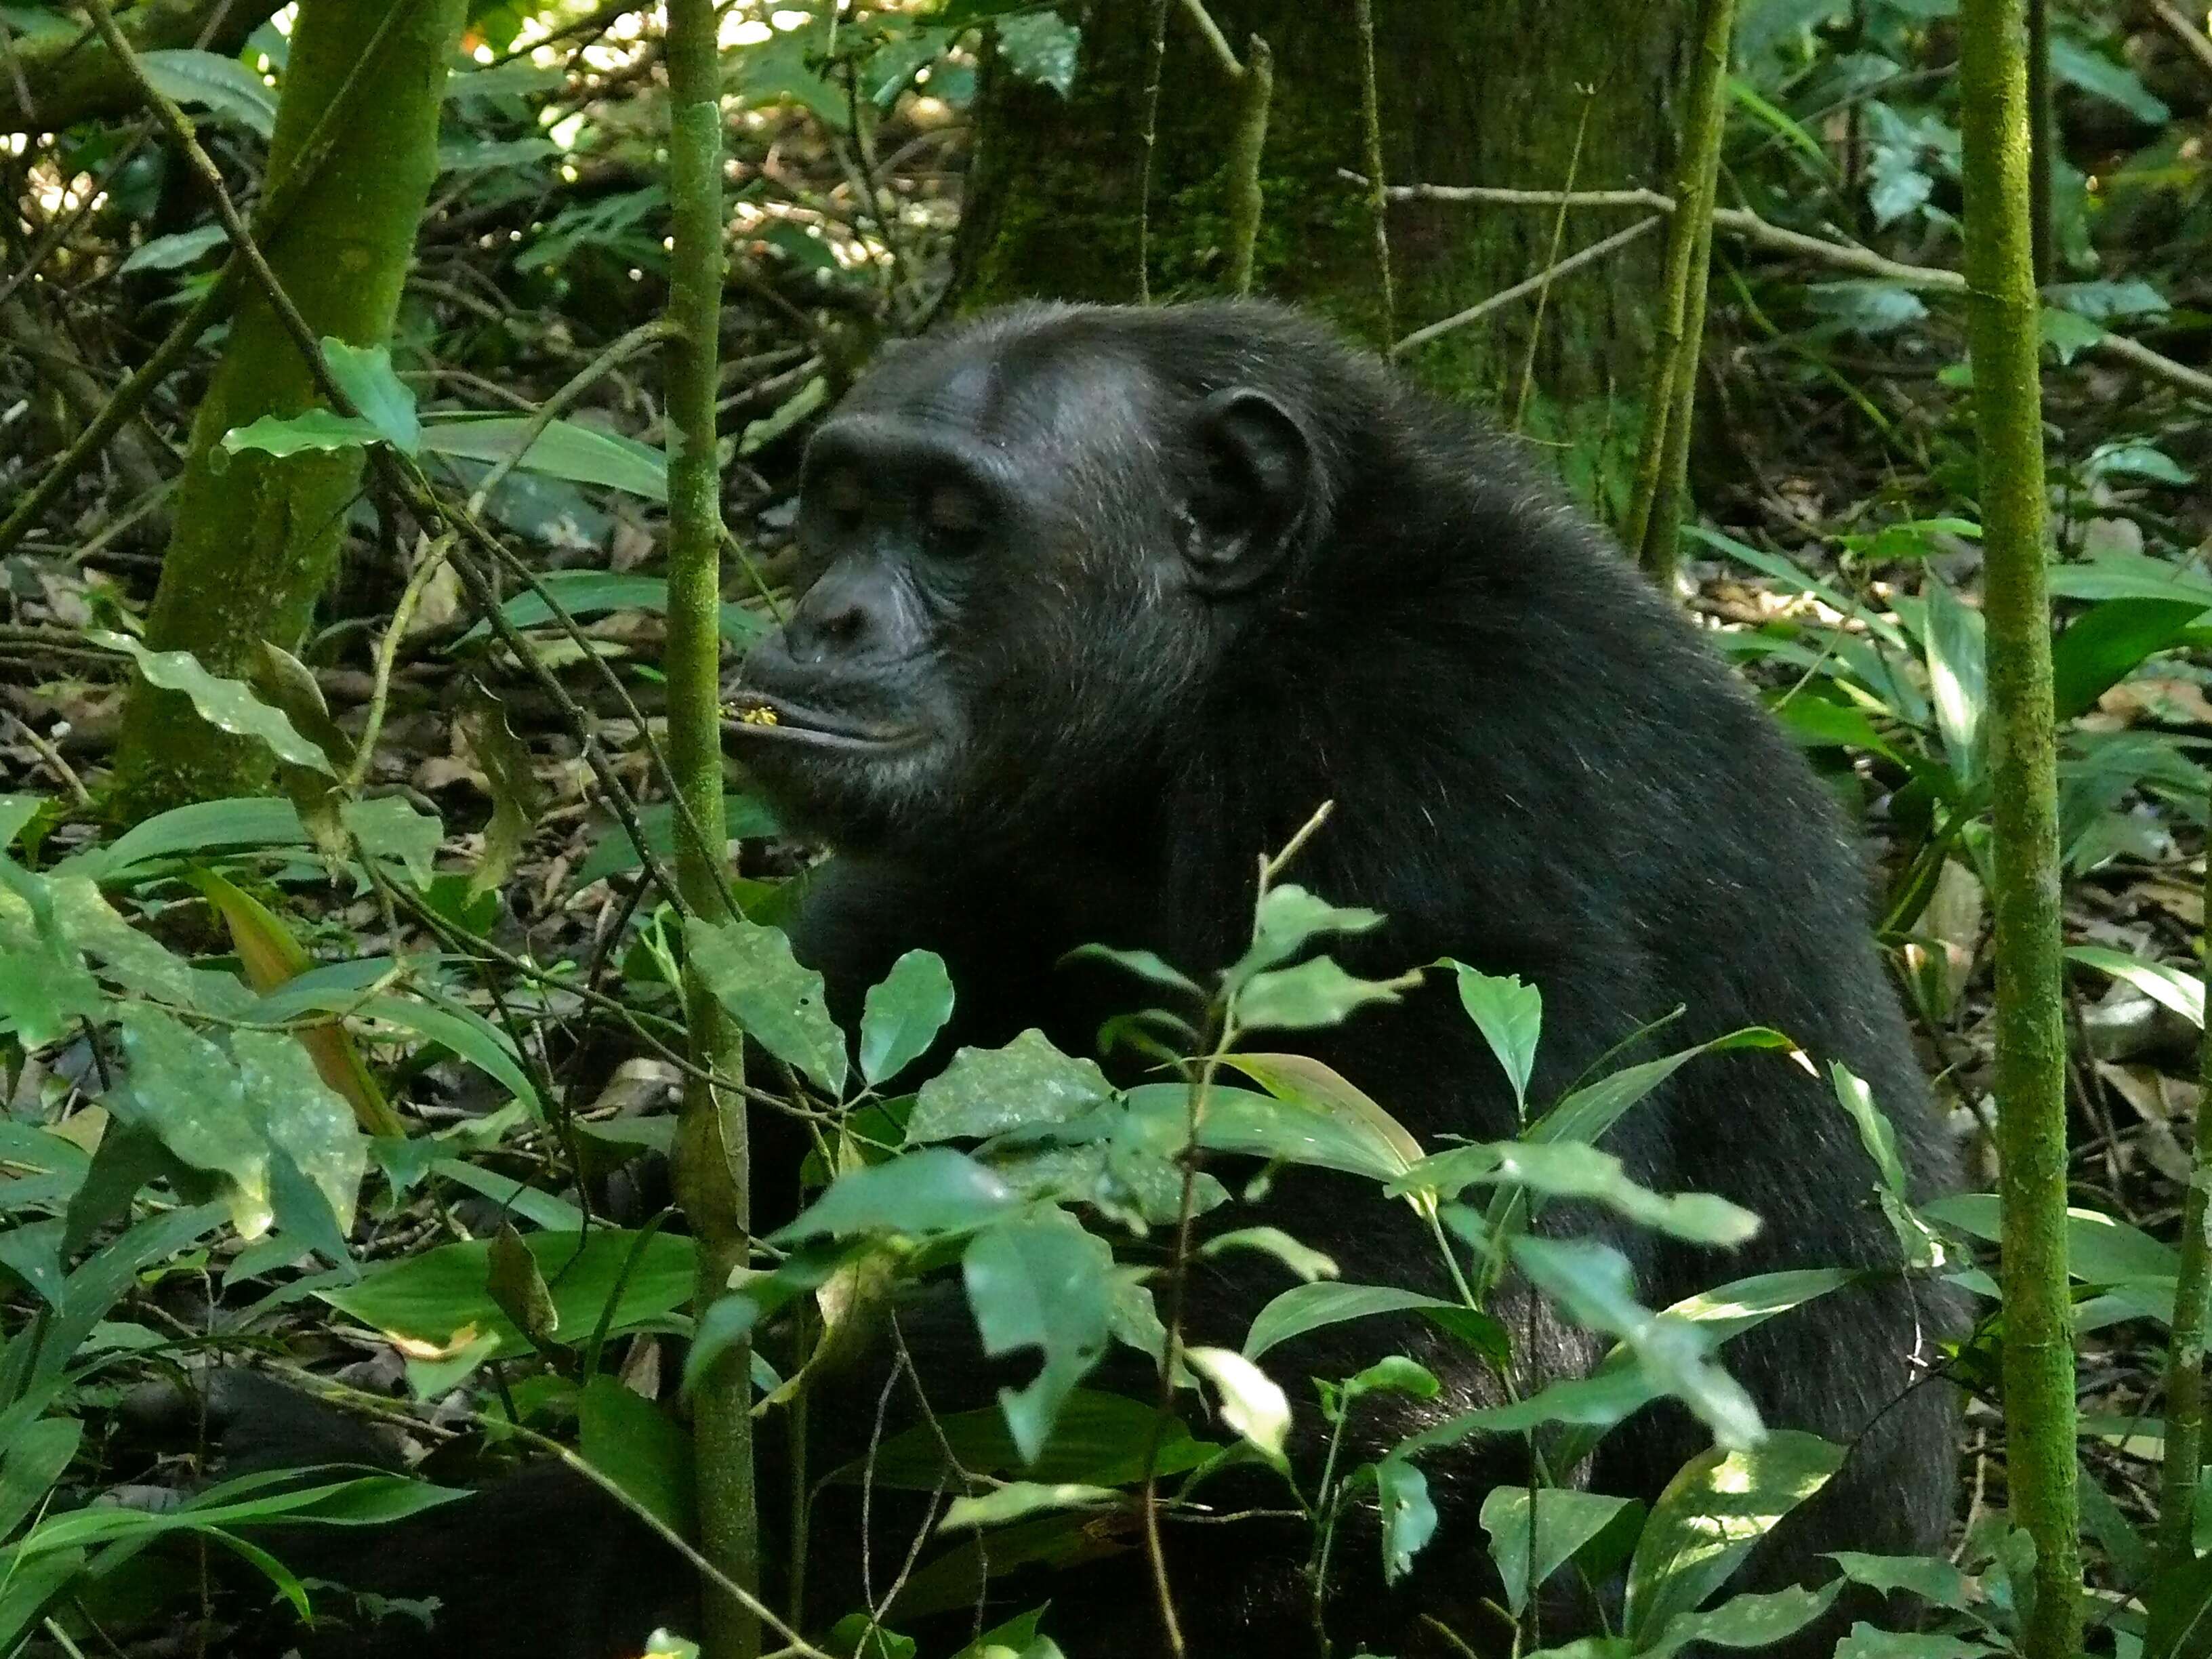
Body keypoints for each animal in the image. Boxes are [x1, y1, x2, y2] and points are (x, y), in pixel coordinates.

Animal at [228, 303, 1955, 1659]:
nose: (828, 610)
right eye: (841, 503)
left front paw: (525, 1535)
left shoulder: (1431, 781)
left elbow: (1416, 1298)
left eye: (950, 522)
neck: (1238, 653)